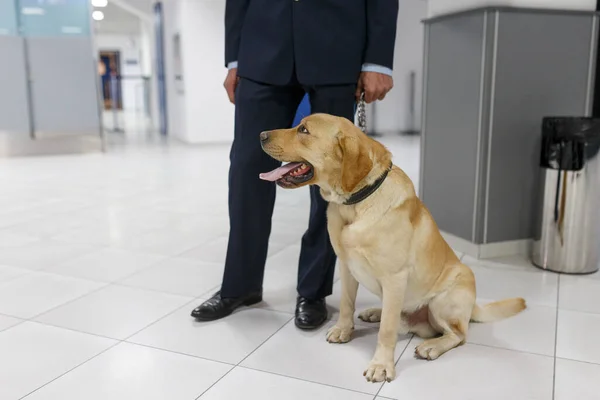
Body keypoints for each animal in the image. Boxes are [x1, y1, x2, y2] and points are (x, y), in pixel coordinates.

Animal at [258, 114, 524, 382]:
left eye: (303, 130)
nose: (261, 135)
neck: (356, 204)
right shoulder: (346, 267)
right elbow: (346, 304)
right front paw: (343, 329)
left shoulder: (395, 278)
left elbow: (387, 330)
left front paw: (381, 365)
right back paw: (375, 312)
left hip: (444, 299)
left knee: (457, 334)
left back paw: (432, 346)